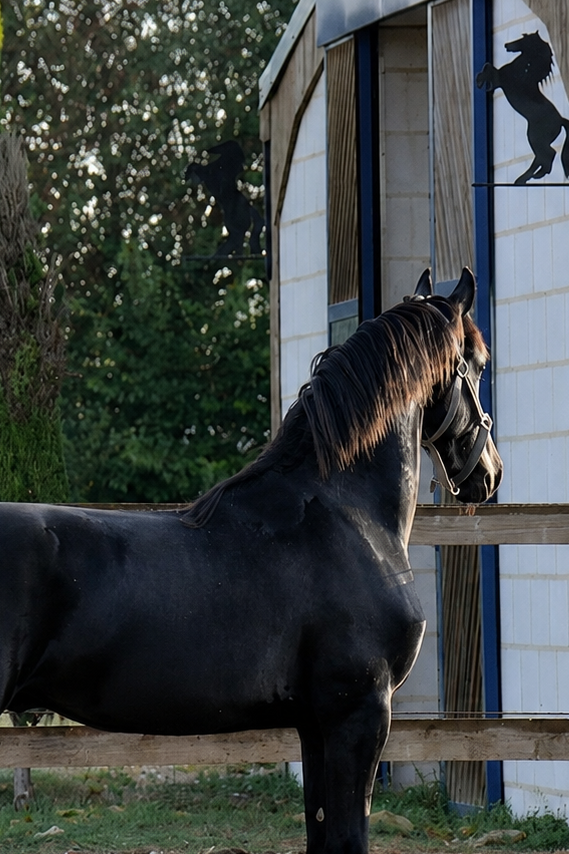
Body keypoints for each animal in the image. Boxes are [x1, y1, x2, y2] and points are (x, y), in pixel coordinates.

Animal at [0, 268, 502, 854]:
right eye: (479, 362)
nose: (490, 473)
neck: (345, 516)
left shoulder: (315, 724)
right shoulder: (358, 713)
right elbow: (349, 838)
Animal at [476, 32, 569, 185]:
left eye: (524, 38)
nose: (506, 45)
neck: (525, 71)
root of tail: (561, 120)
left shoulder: (500, 78)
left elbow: (489, 69)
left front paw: (480, 81)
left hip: (535, 137)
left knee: (547, 153)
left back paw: (527, 177)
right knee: (544, 155)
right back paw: (533, 176)